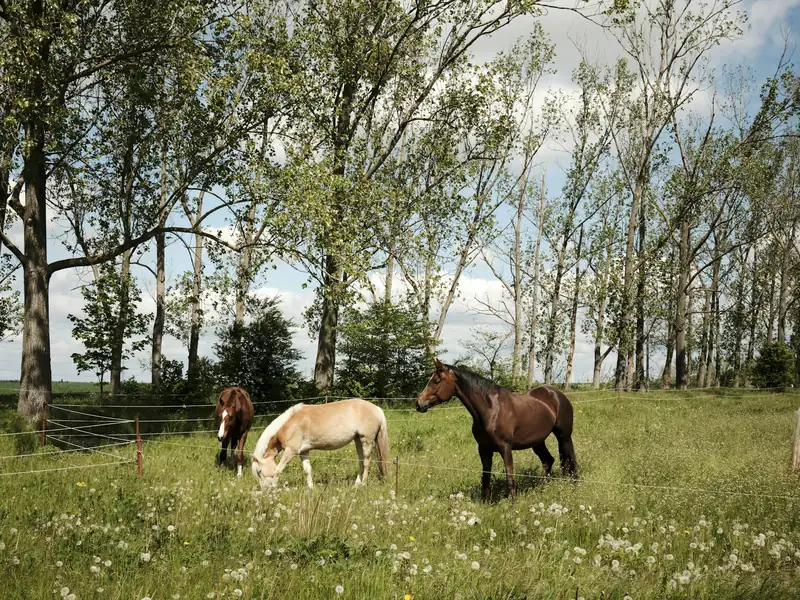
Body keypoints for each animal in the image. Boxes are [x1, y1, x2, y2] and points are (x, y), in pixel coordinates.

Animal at [250, 399, 390, 490]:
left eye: (259, 471)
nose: (265, 490)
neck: (289, 424)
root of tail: (377, 409)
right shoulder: (303, 452)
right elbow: (307, 470)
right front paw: (311, 488)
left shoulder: (291, 451)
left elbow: (278, 469)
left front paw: (274, 487)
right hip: (358, 441)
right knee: (361, 461)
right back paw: (357, 484)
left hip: (366, 440)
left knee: (366, 462)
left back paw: (363, 484)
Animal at [415, 358, 577, 502]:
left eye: (436, 381)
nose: (419, 404)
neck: (491, 410)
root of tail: (556, 394)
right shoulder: (484, 449)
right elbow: (486, 478)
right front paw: (486, 503)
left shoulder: (505, 448)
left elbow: (510, 478)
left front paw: (514, 505)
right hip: (537, 442)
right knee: (548, 461)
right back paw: (541, 489)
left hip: (564, 437)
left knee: (571, 460)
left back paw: (573, 484)